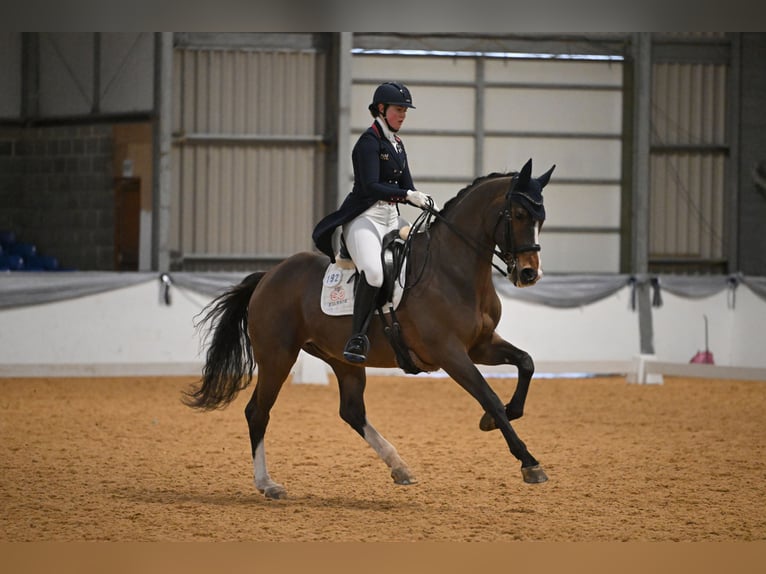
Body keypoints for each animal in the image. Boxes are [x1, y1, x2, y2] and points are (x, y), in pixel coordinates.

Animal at [188, 158, 556, 500]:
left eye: (542, 218)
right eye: (519, 214)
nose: (529, 274)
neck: (453, 271)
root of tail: (269, 275)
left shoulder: (481, 345)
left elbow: (526, 363)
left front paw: (496, 420)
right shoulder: (450, 354)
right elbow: (488, 396)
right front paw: (528, 462)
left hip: (342, 359)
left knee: (351, 411)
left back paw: (400, 467)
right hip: (277, 356)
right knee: (257, 412)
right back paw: (267, 484)